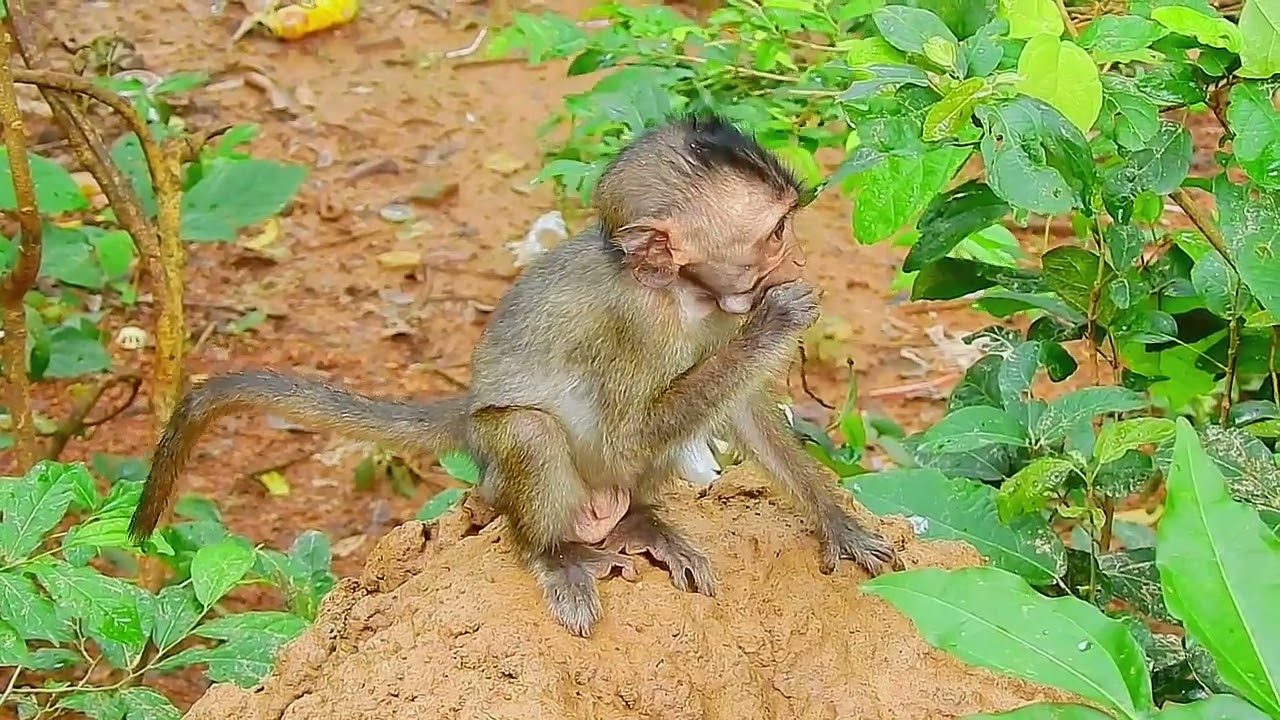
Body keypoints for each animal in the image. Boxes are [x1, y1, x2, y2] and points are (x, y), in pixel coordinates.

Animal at [128, 113, 900, 637]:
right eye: (775, 234)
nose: (797, 260)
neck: (678, 292)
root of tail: (467, 406)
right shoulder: (634, 323)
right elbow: (625, 431)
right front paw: (781, 320)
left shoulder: (715, 316)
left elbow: (740, 414)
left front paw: (836, 522)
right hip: (496, 465)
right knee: (529, 433)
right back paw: (553, 552)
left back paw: (639, 521)